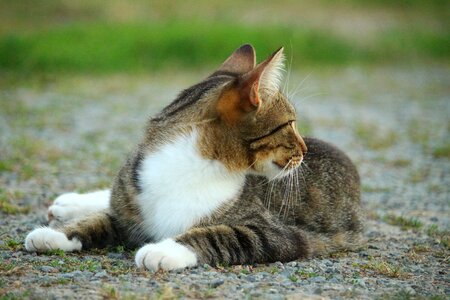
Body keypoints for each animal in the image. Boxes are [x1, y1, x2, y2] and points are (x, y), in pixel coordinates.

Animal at [24, 45, 362, 272]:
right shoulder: (131, 206)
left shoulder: (280, 233)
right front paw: (56, 234)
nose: (303, 150)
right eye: (290, 124)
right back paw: (71, 204)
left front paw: (164, 250)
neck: (186, 166)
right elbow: (101, 219)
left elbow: (222, 234)